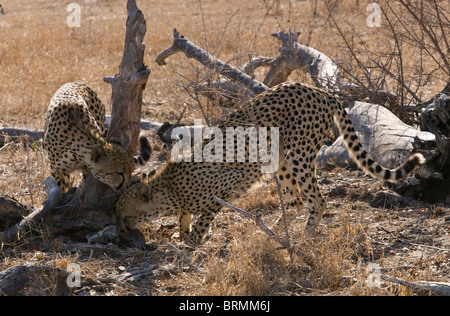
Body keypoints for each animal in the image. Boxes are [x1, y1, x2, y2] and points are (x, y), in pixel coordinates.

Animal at [114, 81, 424, 244]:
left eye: (123, 215)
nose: (120, 233)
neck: (169, 188)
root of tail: (320, 90)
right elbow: (186, 218)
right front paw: (184, 235)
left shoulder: (229, 182)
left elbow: (205, 216)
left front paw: (194, 242)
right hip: (280, 156)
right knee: (295, 200)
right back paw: (269, 232)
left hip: (299, 154)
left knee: (316, 201)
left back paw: (303, 239)